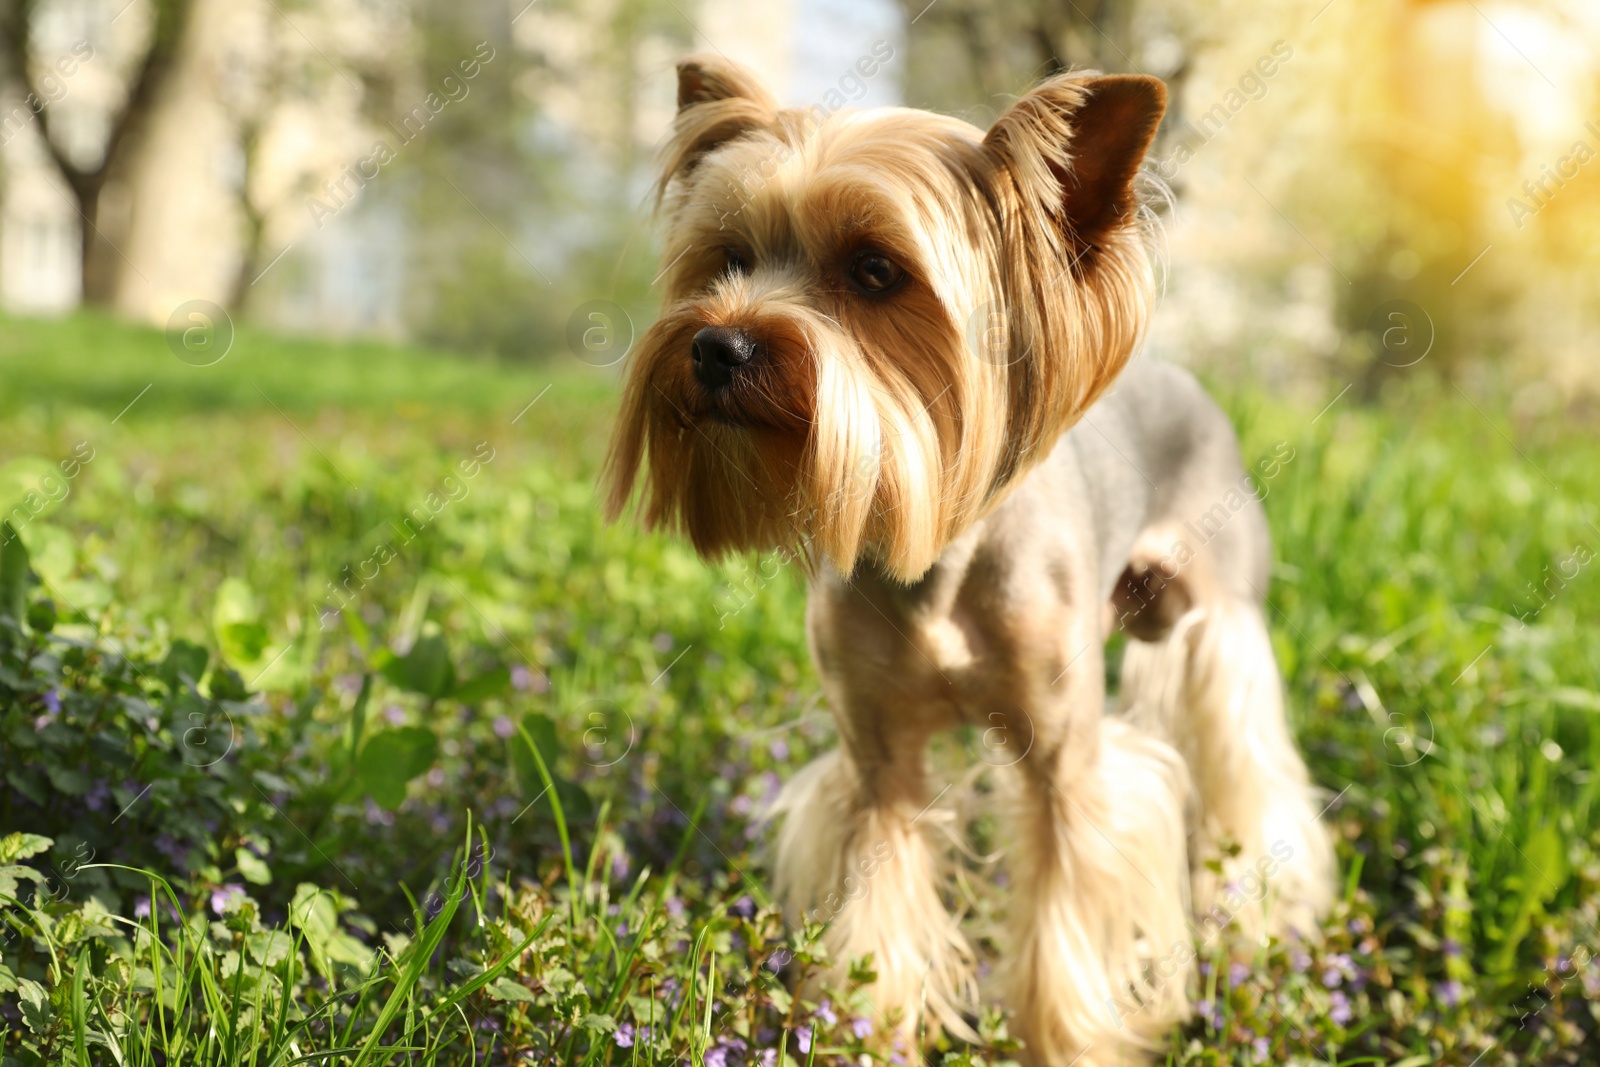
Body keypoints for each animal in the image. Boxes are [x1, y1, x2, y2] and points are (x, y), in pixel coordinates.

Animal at [604, 58, 1331, 1067]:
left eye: (876, 271)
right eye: (728, 258)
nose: (717, 344)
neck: (935, 554)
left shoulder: (1065, 758)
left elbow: (1068, 918)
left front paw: (1068, 1042)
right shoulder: (879, 757)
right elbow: (882, 909)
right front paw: (868, 1032)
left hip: (1219, 618)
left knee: (1249, 767)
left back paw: (1265, 917)